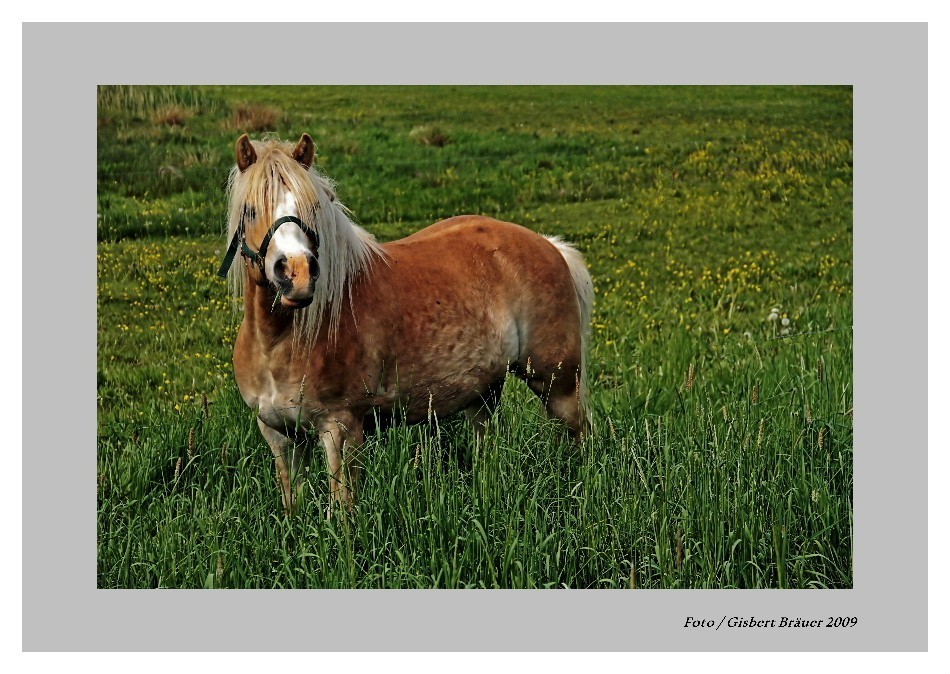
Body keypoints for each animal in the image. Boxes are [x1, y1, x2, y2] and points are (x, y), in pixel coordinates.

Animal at [221, 133, 596, 516]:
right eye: (250, 210)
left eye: (312, 209)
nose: (296, 274)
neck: (281, 341)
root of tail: (550, 246)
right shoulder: (280, 436)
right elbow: (292, 504)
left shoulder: (341, 429)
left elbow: (343, 512)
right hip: (483, 394)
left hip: (558, 385)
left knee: (578, 436)